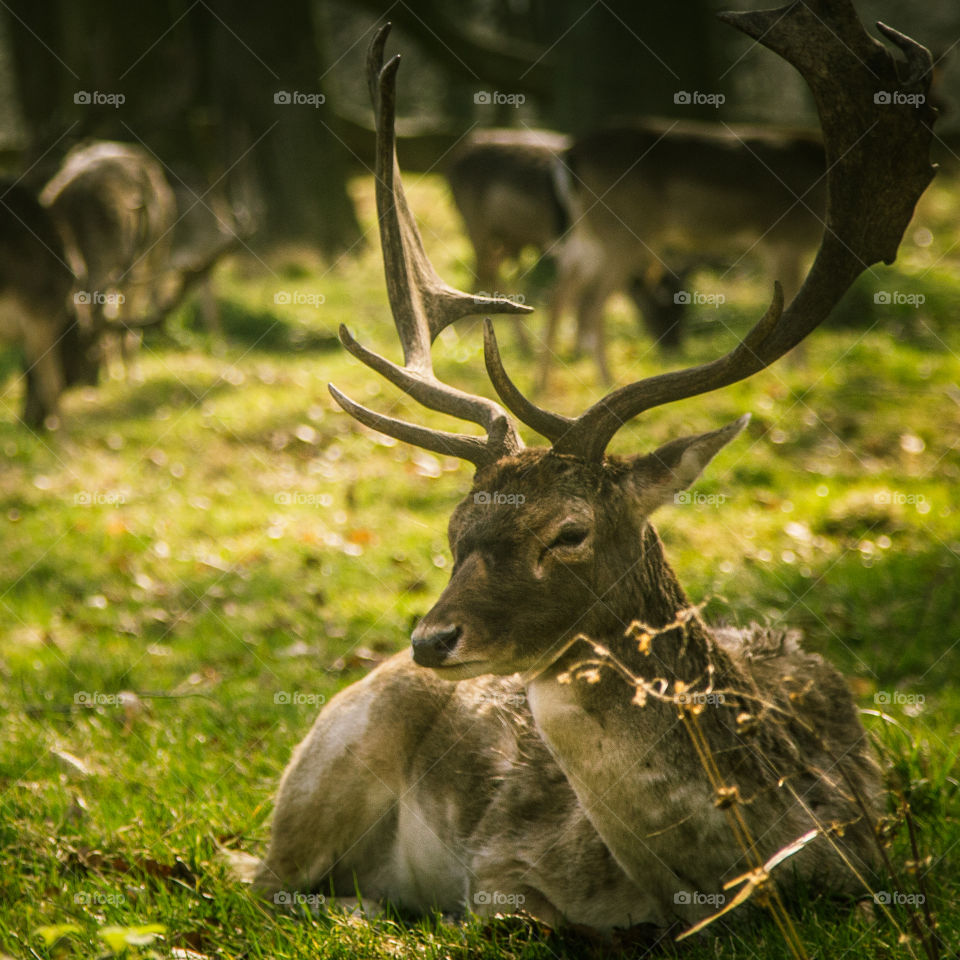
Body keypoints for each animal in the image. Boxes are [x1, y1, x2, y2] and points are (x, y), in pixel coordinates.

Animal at [255, 5, 936, 936]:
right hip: (325, 769)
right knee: (259, 879)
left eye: (569, 532)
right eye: (455, 528)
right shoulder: (502, 865)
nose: (432, 639)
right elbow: (513, 915)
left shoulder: (876, 859)